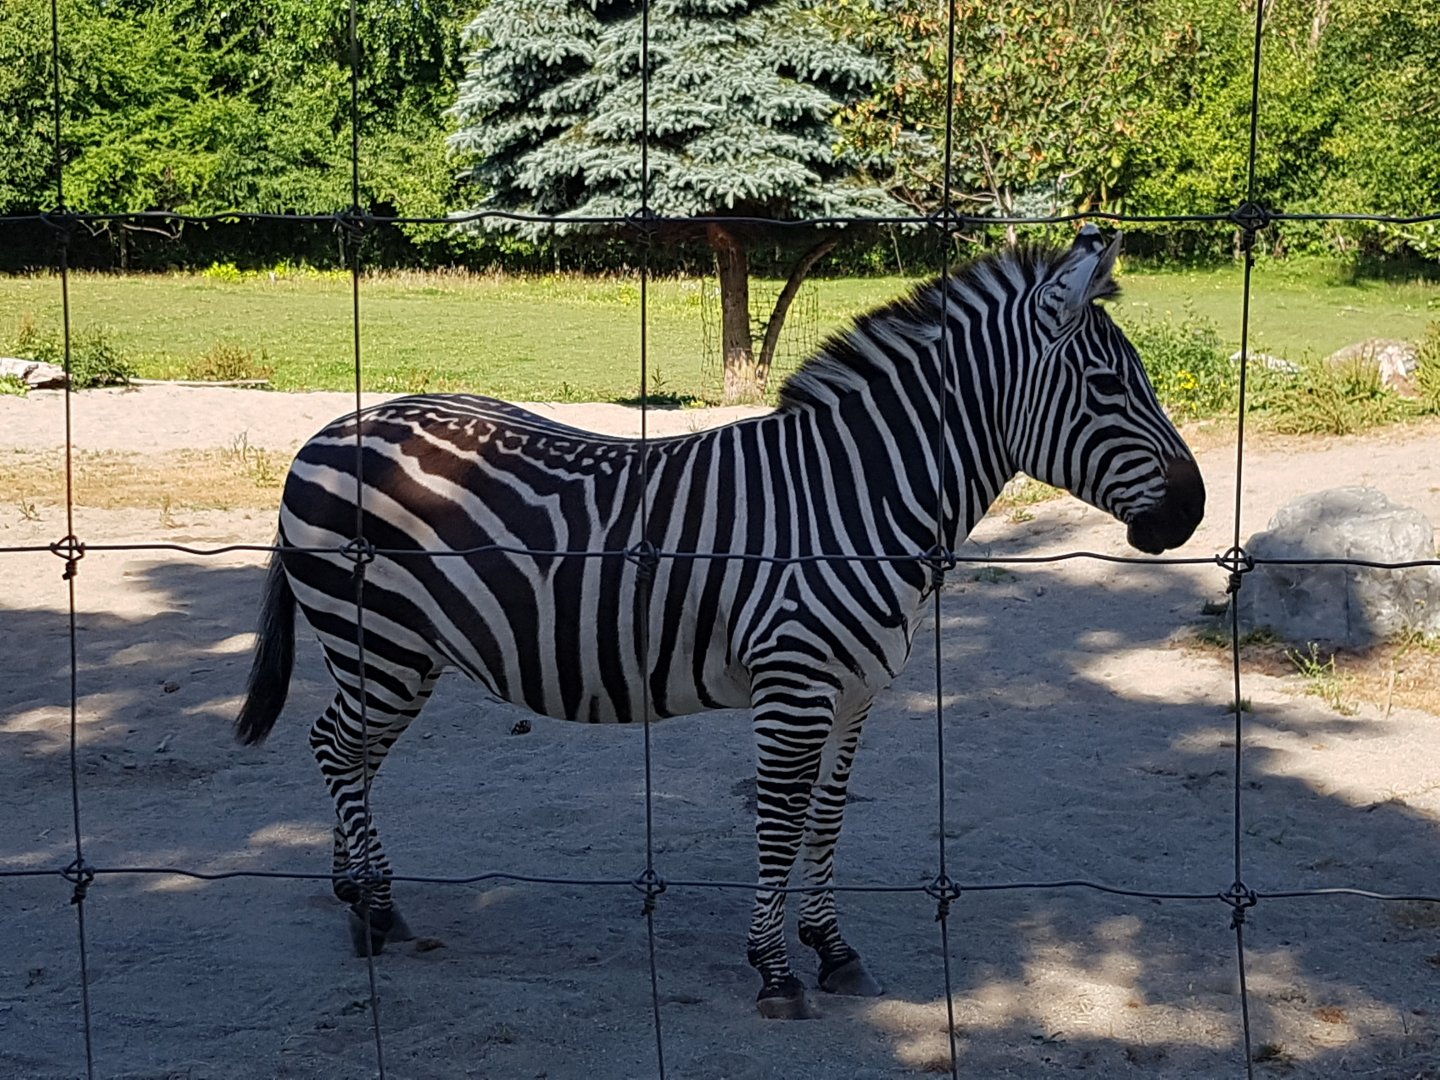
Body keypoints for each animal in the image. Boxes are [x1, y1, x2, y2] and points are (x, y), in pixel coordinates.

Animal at [235, 227, 1204, 1020]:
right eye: (1110, 385)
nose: (1193, 512)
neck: (858, 499)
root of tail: (333, 428)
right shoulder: (794, 685)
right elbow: (778, 816)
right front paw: (775, 971)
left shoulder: (855, 693)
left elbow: (827, 816)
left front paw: (834, 950)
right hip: (381, 643)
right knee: (334, 749)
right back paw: (377, 911)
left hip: (401, 654)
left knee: (350, 754)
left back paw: (354, 894)